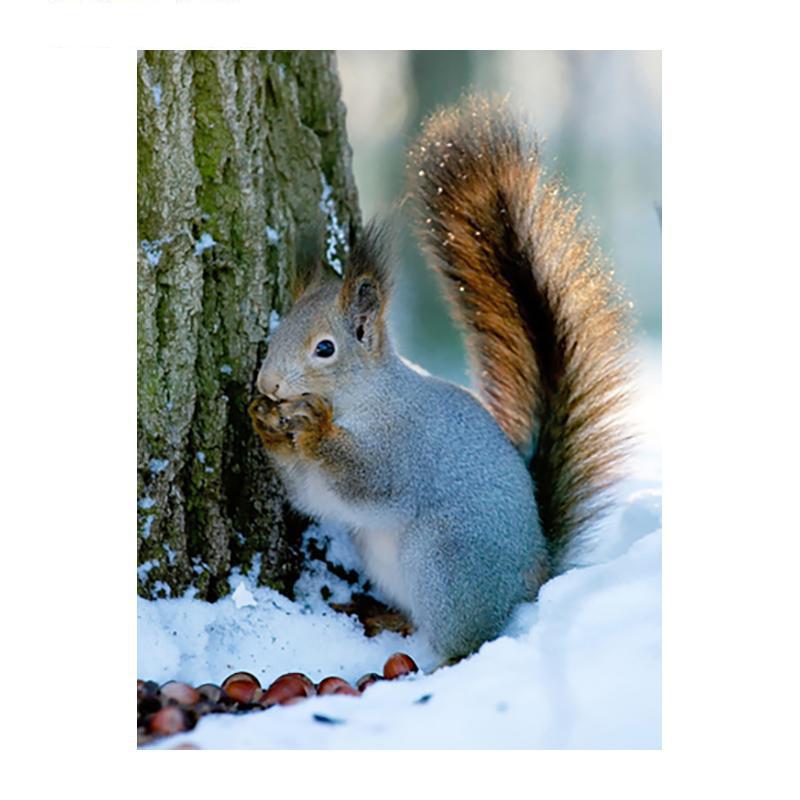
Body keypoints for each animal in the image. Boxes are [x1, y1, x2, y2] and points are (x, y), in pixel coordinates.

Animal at [248, 96, 631, 662]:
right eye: (273, 336)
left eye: (325, 349)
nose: (268, 386)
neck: (367, 398)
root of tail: (533, 580)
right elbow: (311, 496)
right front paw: (266, 424)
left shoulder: (404, 450)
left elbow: (364, 483)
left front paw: (314, 430)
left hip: (443, 560)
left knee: (465, 638)